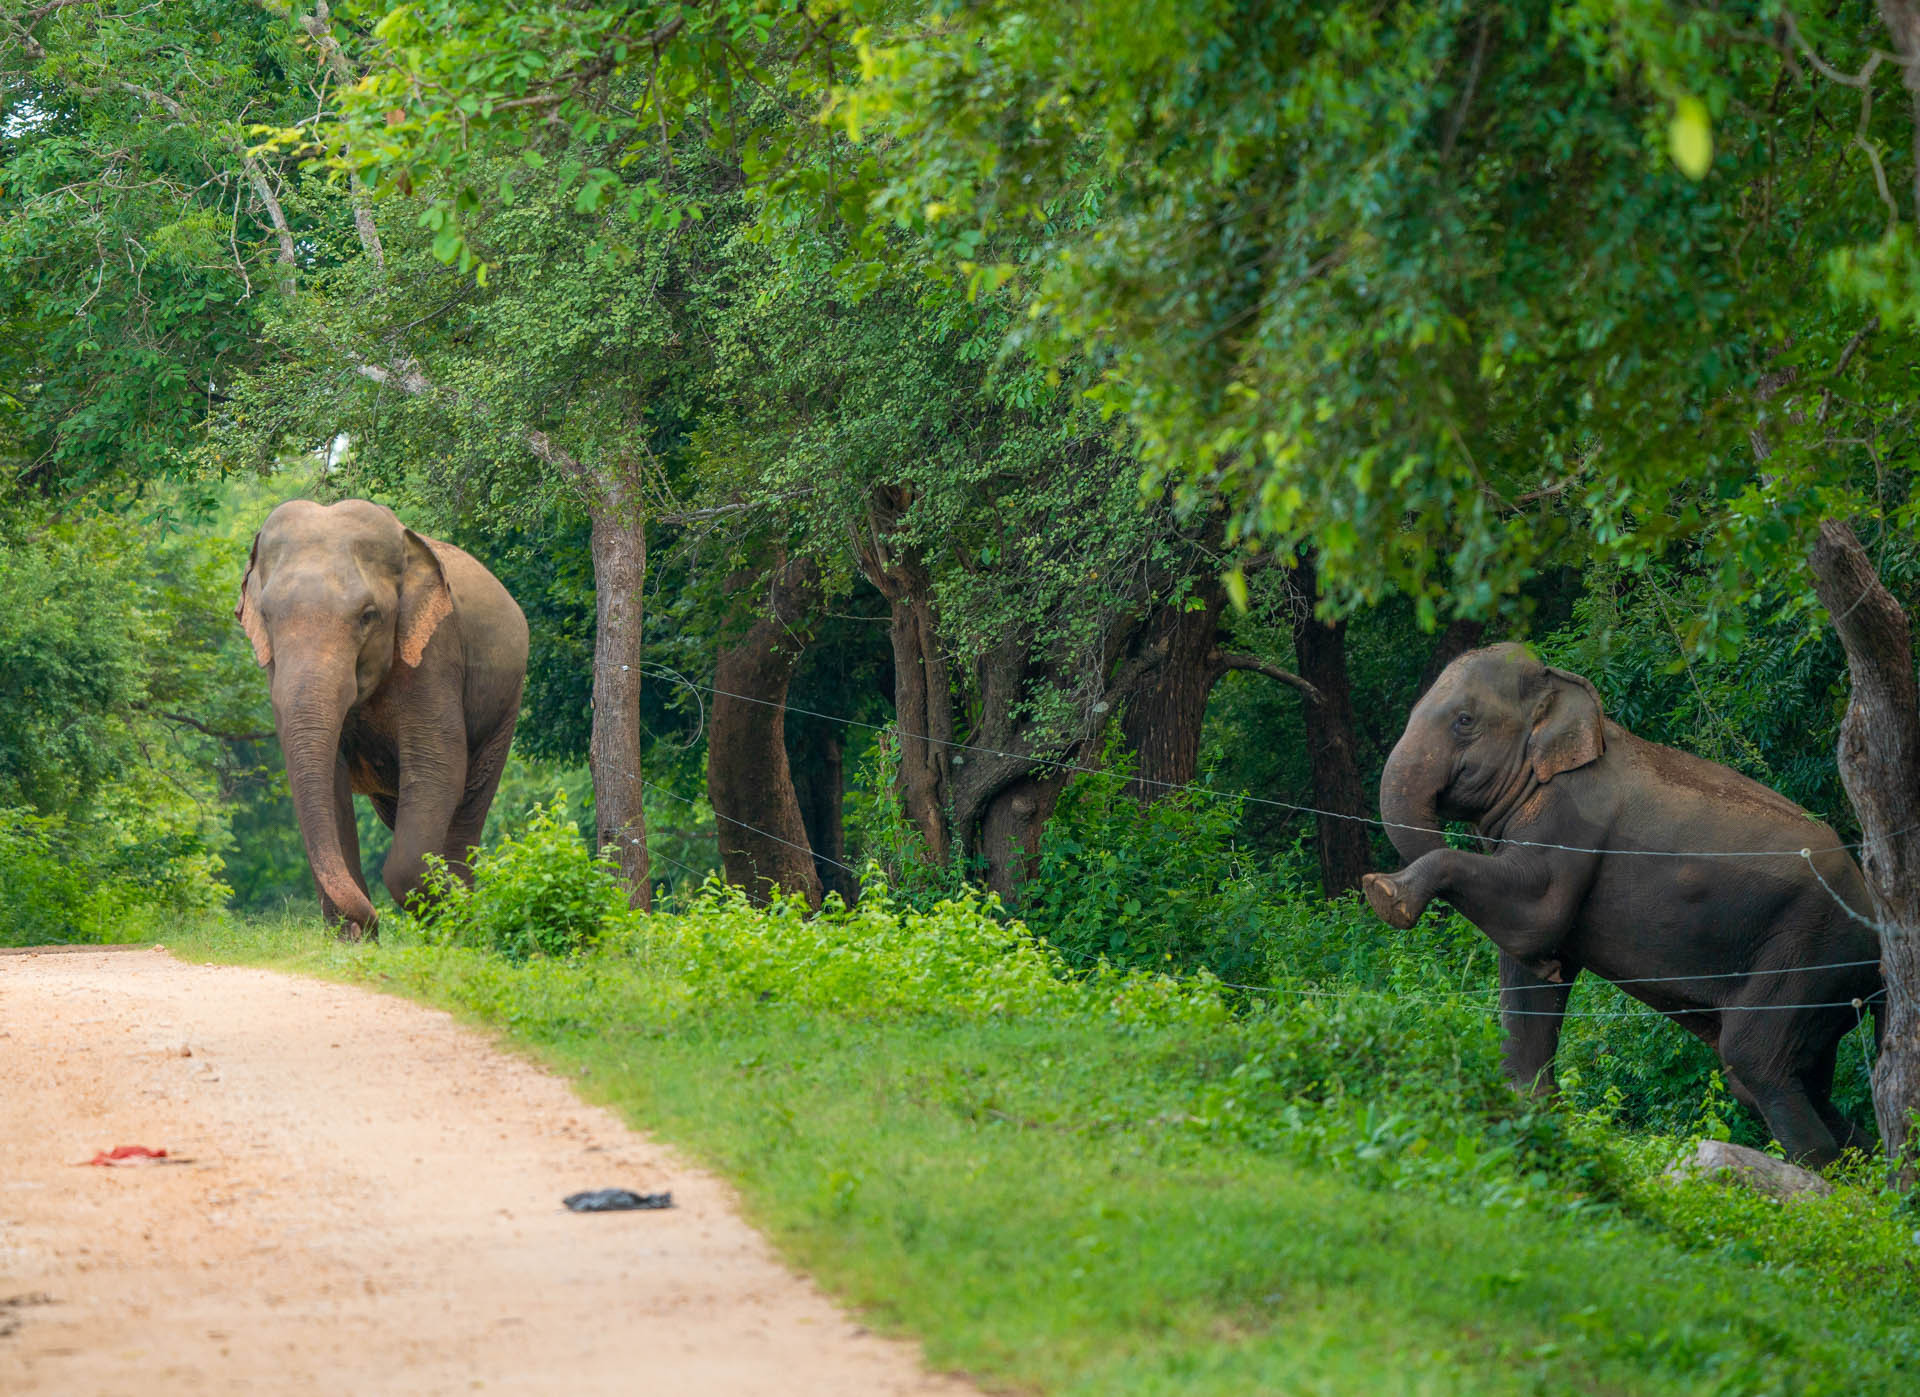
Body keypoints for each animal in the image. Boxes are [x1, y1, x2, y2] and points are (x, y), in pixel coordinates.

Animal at [236, 498, 529, 940]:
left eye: (368, 616)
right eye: (267, 617)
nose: (371, 924)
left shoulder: (434, 653)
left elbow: (437, 764)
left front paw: (445, 917)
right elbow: (329, 782)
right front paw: (350, 940)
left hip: (505, 706)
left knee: (468, 810)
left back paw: (460, 921)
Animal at [1359, 644, 1881, 1166]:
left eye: (1464, 720)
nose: (1382, 883)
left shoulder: (1569, 816)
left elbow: (1536, 914)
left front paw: (1384, 893)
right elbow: (1528, 968)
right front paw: (1529, 1108)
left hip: (1809, 950)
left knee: (1753, 1058)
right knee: (1798, 1077)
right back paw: (1866, 1163)